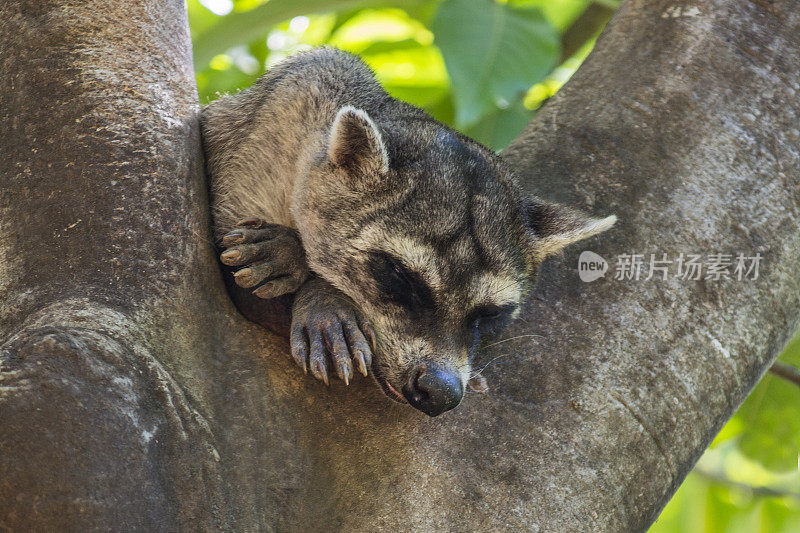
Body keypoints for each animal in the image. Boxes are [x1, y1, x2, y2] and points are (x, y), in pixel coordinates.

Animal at [200, 47, 612, 416]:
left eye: (491, 314)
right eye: (399, 276)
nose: (440, 391)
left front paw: (315, 284)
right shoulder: (265, 139)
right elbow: (233, 283)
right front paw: (314, 282)